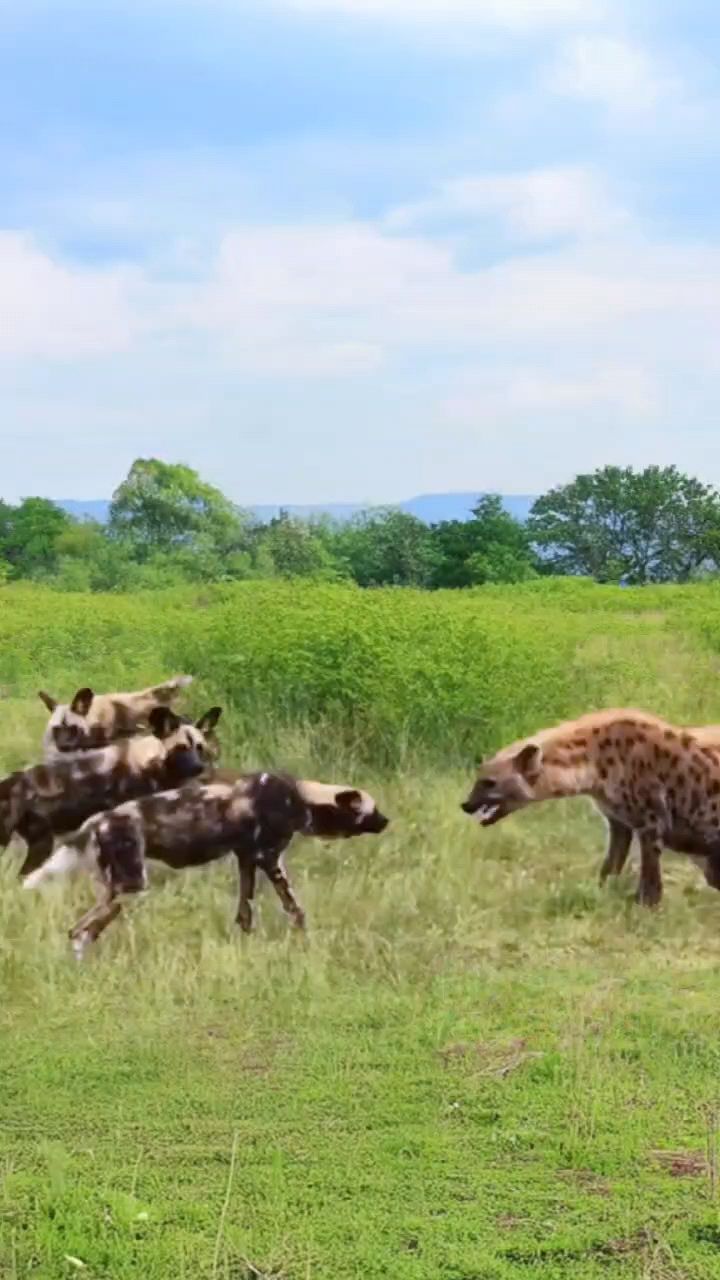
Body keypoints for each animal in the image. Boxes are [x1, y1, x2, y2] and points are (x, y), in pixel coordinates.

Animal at [2, 701, 221, 880]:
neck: (152, 763)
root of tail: (11, 782)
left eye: (200, 747)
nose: (199, 767)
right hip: (39, 843)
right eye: (181, 748)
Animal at [23, 762, 386, 957]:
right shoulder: (269, 859)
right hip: (130, 887)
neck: (300, 798)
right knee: (79, 930)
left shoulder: (247, 859)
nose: (387, 820)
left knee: (82, 930)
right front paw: (304, 937)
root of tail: (95, 822)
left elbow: (245, 910)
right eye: (373, 809)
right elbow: (294, 907)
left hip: (115, 890)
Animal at [458, 711, 720, 911]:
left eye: (489, 783)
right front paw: (600, 894)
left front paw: (644, 907)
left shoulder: (652, 820)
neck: (597, 765)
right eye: (479, 779)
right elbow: (611, 864)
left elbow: (650, 873)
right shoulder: (618, 820)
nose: (465, 805)